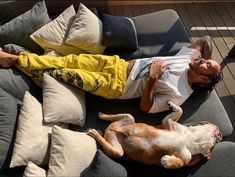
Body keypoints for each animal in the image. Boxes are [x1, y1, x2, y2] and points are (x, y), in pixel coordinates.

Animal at [87, 101, 222, 169]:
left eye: (212, 147)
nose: (220, 134)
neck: (191, 139)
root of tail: (110, 130)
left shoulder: (186, 158)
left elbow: (180, 163)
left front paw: (168, 161)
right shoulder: (168, 123)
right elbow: (180, 110)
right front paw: (172, 105)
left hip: (118, 150)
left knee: (109, 145)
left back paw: (95, 132)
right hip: (129, 119)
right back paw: (102, 115)